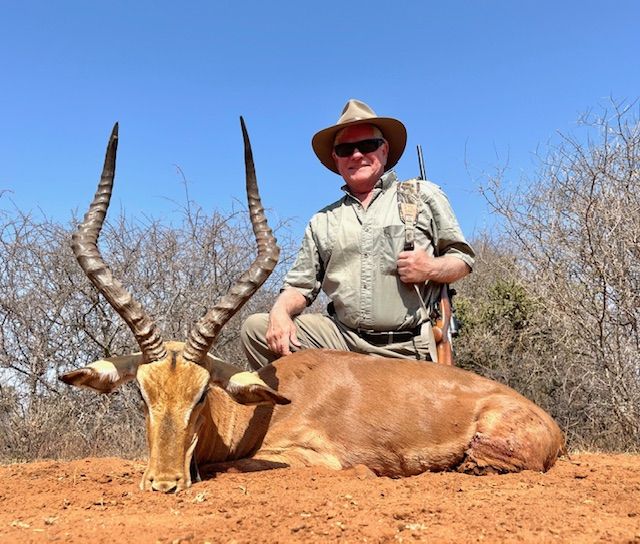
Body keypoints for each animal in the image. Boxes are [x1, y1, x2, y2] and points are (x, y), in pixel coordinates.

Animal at [60, 120, 565, 493]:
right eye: (142, 395)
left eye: (202, 393)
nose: (163, 483)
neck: (262, 408)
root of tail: (549, 424)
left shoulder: (303, 458)